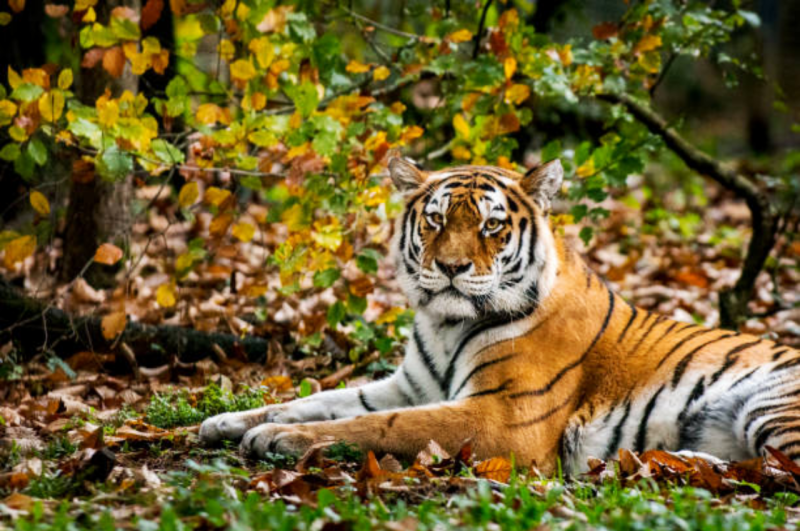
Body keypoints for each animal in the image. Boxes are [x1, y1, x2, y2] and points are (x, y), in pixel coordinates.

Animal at [200, 157, 800, 474]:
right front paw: (225, 422)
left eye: (491, 225)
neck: (445, 325)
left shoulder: (499, 418)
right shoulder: (409, 386)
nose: (450, 267)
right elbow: (319, 400)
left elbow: (378, 425)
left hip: (769, 406)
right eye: (436, 220)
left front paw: (276, 438)